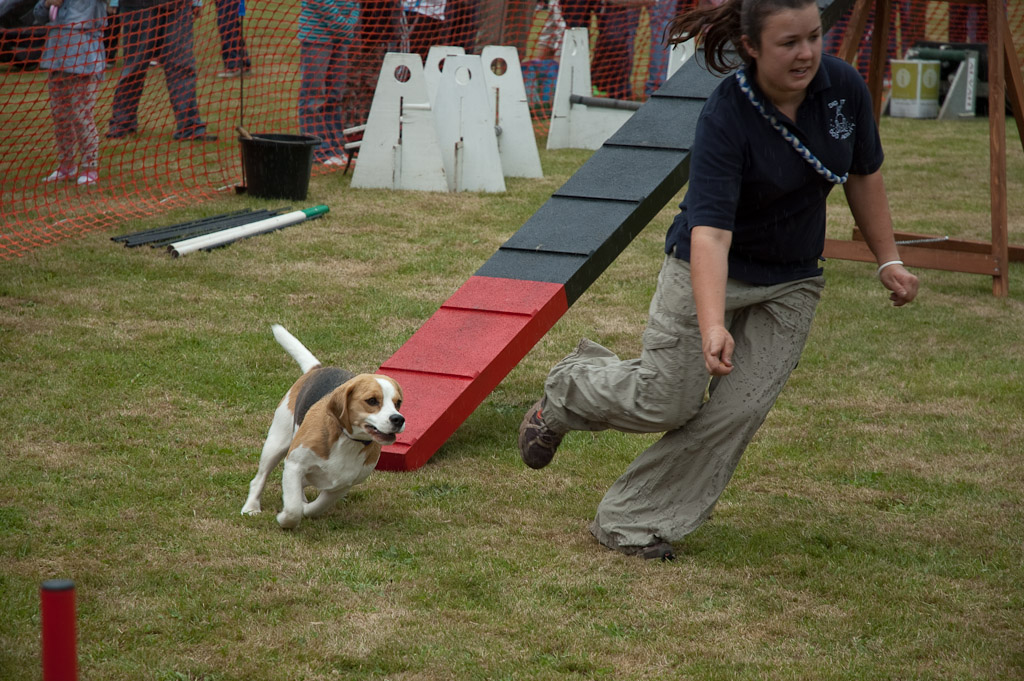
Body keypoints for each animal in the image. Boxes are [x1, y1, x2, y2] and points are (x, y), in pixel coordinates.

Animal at [240, 325, 403, 532]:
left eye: (398, 403)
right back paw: (251, 507)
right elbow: (293, 509)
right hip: (275, 444)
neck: (346, 440)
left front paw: (306, 509)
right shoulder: (294, 464)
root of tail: (317, 369)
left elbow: (316, 506)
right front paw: (285, 519)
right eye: (372, 401)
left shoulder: (342, 485)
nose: (398, 419)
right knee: (259, 479)